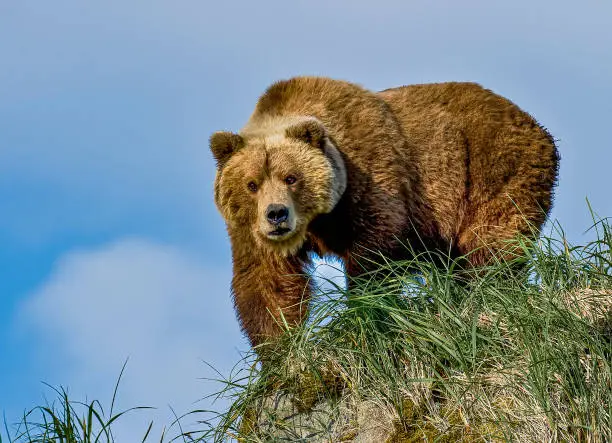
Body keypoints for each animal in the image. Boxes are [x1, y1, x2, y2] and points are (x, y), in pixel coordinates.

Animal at [210, 77, 560, 350]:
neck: (319, 221)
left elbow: (374, 255)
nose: (277, 215)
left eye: (291, 178)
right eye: (252, 184)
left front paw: (364, 313)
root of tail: (536, 126)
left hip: (492, 168)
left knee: (489, 245)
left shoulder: (371, 178)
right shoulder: (249, 231)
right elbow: (266, 283)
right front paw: (277, 350)